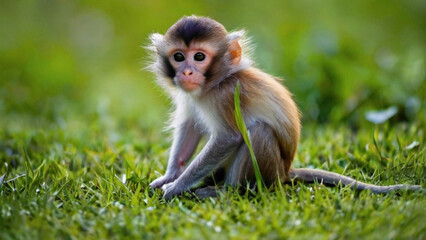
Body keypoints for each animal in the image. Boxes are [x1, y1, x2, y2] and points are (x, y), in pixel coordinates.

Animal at [147, 15, 422, 199]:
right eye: (179, 57)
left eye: (199, 57)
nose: (187, 72)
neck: (215, 84)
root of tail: (286, 171)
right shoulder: (190, 97)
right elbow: (190, 127)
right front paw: (170, 177)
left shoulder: (225, 96)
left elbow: (228, 138)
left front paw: (177, 186)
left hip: (270, 170)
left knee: (258, 132)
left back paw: (226, 190)